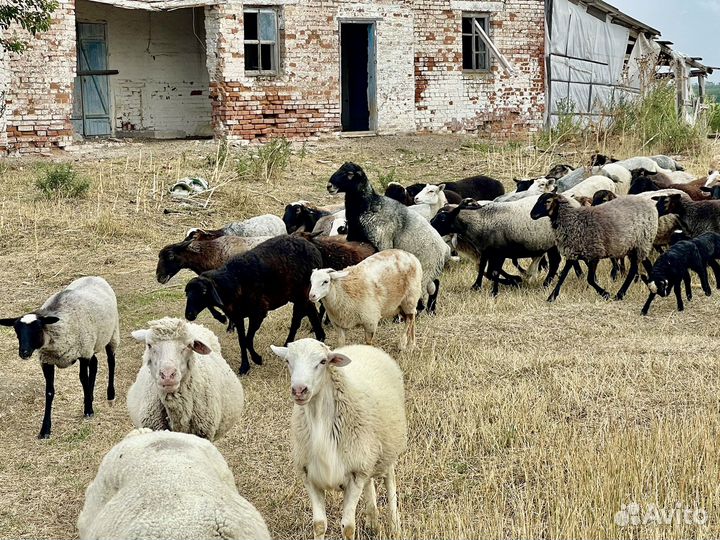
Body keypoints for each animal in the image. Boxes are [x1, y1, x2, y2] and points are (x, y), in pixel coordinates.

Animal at [0, 276, 119, 439]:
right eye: (17, 331)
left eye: (38, 329)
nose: (23, 353)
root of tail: (94, 277)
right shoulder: (47, 361)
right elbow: (49, 391)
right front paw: (45, 430)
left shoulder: (82, 353)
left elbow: (83, 379)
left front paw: (88, 410)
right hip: (92, 345)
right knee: (95, 364)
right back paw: (91, 396)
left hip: (111, 335)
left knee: (111, 362)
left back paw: (110, 394)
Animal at [184, 235, 325, 375]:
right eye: (187, 293)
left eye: (204, 291)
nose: (189, 315)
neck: (233, 282)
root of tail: (313, 248)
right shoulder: (237, 316)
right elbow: (242, 341)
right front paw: (244, 366)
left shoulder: (258, 313)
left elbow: (247, 340)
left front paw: (257, 359)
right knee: (311, 312)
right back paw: (319, 338)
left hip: (302, 292)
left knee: (298, 318)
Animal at [270, 339, 407, 540]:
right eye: (287, 361)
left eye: (323, 361)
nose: (299, 390)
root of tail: (363, 346)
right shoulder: (309, 475)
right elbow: (319, 525)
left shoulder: (355, 476)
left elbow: (348, 527)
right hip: (367, 457)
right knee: (370, 483)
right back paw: (373, 522)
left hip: (387, 449)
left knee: (390, 483)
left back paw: (395, 527)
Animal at [328, 162, 450, 313]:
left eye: (350, 174)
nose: (329, 186)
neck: (369, 206)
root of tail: (445, 249)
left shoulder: (383, 243)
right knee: (434, 284)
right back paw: (430, 310)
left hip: (426, 268)